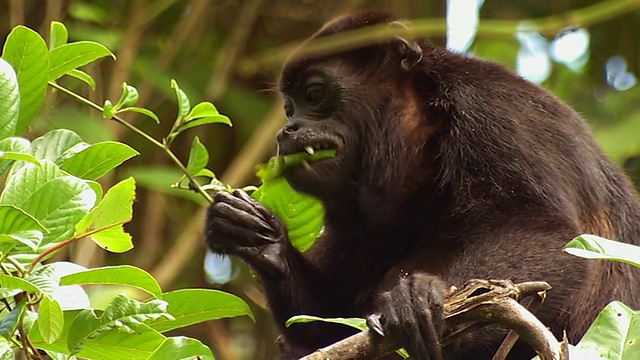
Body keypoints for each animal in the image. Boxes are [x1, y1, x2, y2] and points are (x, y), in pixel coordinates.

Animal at [204, 11, 640, 360]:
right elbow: (325, 326)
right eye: (290, 108)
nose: (286, 130)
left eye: (314, 93)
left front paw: (423, 299)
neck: (421, 142)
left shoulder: (494, 114)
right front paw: (256, 236)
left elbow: (552, 238)